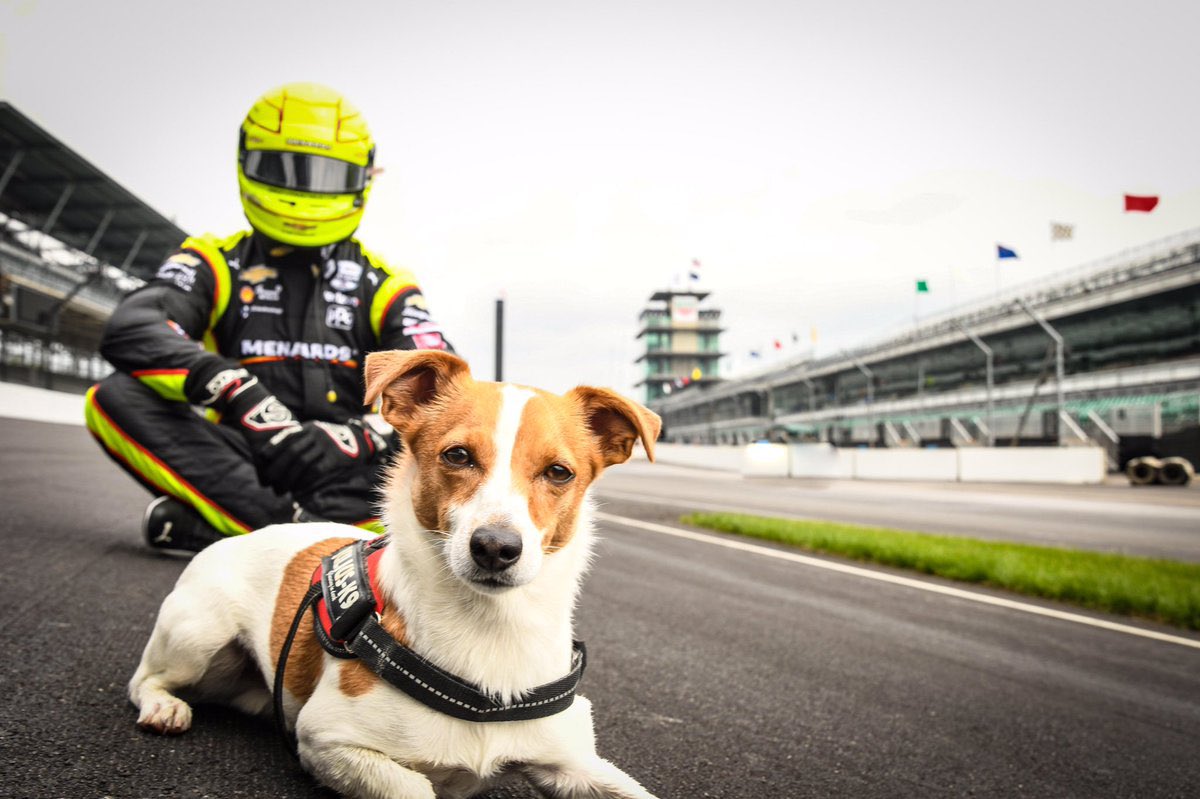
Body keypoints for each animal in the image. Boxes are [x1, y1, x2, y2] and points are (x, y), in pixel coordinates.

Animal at [129, 347, 667, 796]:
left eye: (559, 472)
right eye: (457, 455)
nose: (495, 547)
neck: (490, 629)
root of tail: (240, 536)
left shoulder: (574, 763)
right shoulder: (328, 739)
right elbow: (413, 786)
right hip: (198, 633)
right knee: (144, 680)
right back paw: (163, 706)